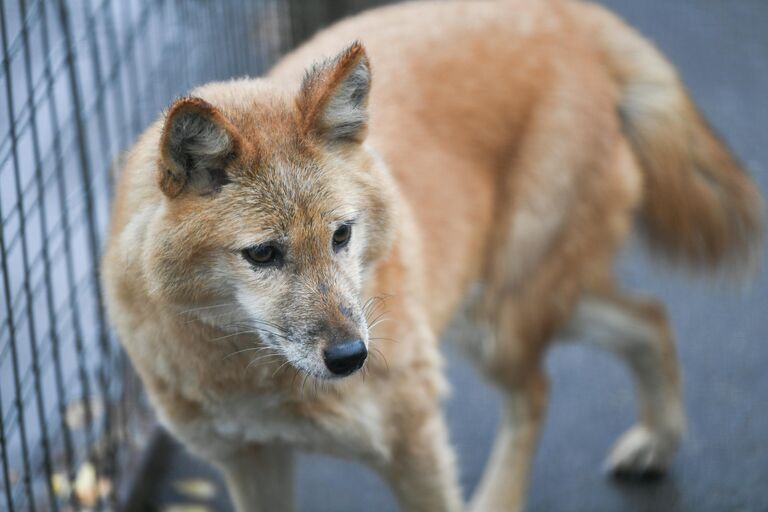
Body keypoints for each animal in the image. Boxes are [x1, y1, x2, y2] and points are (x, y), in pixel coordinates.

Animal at [102, 2, 760, 510]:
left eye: (341, 235)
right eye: (263, 253)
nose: (351, 358)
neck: (256, 380)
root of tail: (565, 16)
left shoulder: (413, 442)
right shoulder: (251, 463)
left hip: (497, 324)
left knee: (541, 387)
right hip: (487, 312)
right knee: (650, 316)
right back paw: (656, 442)